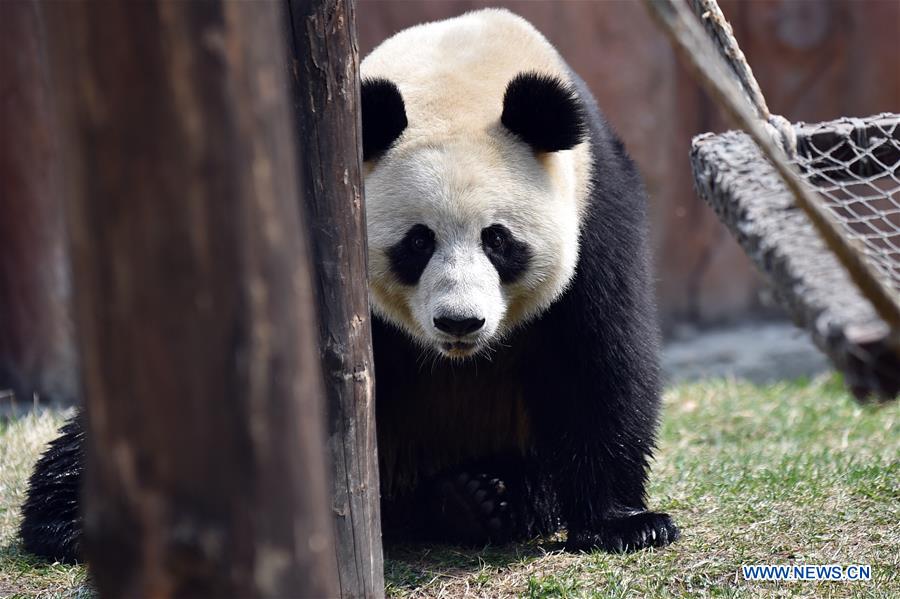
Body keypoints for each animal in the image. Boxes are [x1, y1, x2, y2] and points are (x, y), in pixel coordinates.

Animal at [19, 8, 677, 563]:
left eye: (498, 240)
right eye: (418, 242)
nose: (459, 322)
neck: (462, 63)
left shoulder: (597, 208)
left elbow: (597, 358)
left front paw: (627, 524)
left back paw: (485, 498)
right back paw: (66, 522)